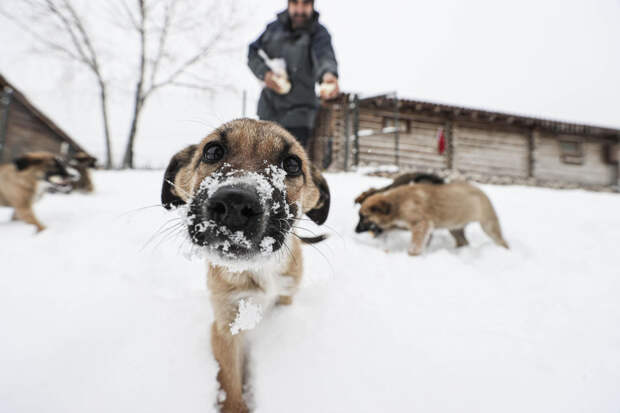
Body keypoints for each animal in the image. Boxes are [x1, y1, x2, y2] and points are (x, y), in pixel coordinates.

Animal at [162, 117, 332, 410]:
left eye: (292, 164)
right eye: (212, 151)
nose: (235, 203)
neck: (258, 269)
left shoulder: (285, 296)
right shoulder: (226, 325)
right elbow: (230, 383)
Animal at [354, 180, 508, 254]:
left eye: (364, 216)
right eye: (359, 216)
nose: (355, 231)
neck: (396, 203)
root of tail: (479, 190)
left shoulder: (421, 223)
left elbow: (416, 243)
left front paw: (412, 254)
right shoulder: (402, 224)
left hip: (488, 224)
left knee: (501, 241)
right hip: (455, 228)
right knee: (463, 242)